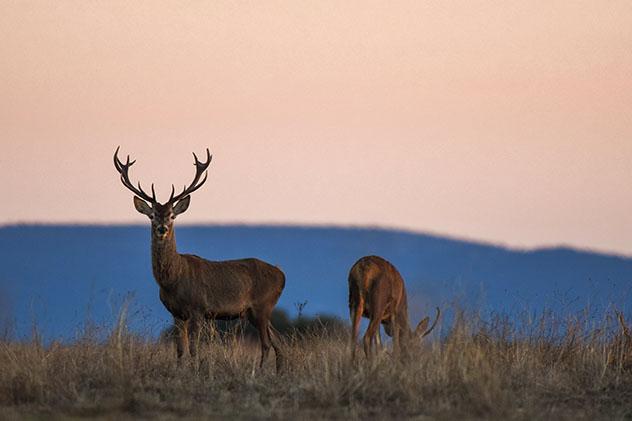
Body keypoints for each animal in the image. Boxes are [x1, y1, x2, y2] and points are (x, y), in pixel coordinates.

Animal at [112, 147, 286, 368]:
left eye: (172, 215)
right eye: (152, 216)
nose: (162, 228)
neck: (173, 281)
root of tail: (282, 275)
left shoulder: (198, 308)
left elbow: (194, 348)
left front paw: (195, 369)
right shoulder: (176, 313)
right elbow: (179, 349)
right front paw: (179, 370)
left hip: (262, 306)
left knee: (266, 343)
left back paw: (261, 371)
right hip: (257, 312)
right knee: (279, 340)